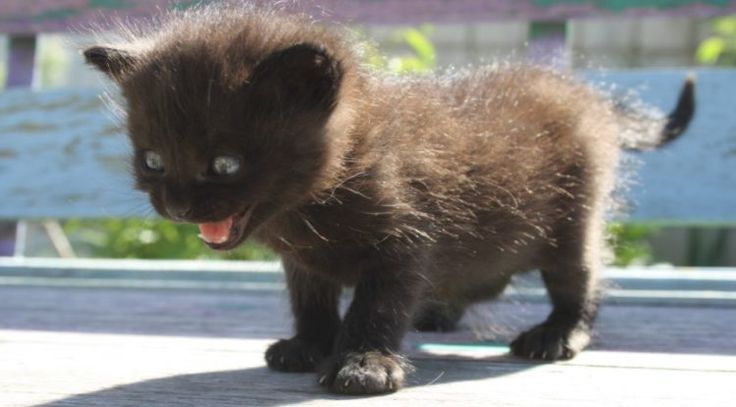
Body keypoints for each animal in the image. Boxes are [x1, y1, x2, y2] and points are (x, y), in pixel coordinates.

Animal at [83, 3, 692, 396]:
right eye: (153, 160)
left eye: (225, 164)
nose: (178, 207)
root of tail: (587, 95)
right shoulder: (305, 262)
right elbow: (311, 301)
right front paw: (309, 344)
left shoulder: (404, 241)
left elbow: (377, 306)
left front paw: (363, 364)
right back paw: (439, 311)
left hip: (572, 219)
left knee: (580, 279)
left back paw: (557, 333)